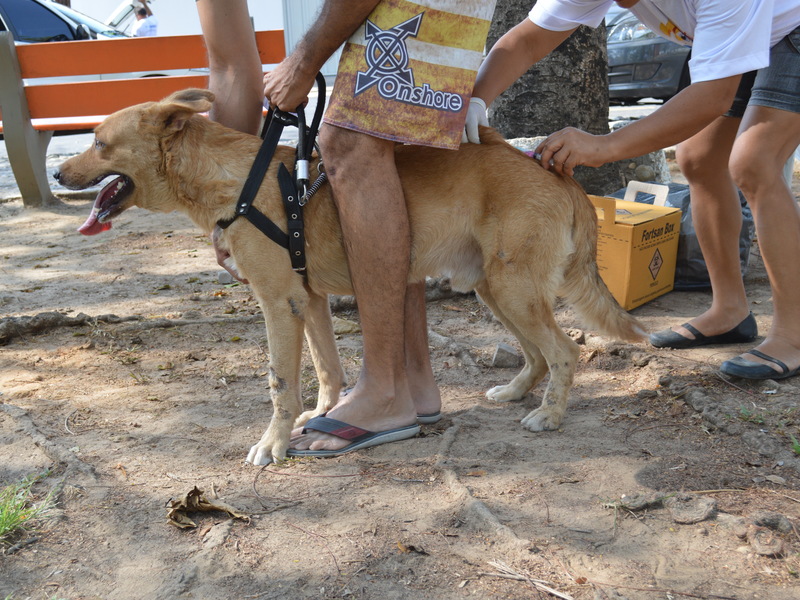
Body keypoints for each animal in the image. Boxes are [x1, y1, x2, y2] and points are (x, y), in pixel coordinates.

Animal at [54, 88, 644, 464]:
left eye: (99, 142)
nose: (58, 172)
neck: (239, 183)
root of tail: (556, 171)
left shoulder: (278, 303)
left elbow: (280, 383)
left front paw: (273, 444)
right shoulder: (308, 301)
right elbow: (325, 371)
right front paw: (321, 417)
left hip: (512, 290)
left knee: (563, 351)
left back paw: (549, 416)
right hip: (495, 290)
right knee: (539, 353)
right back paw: (519, 391)